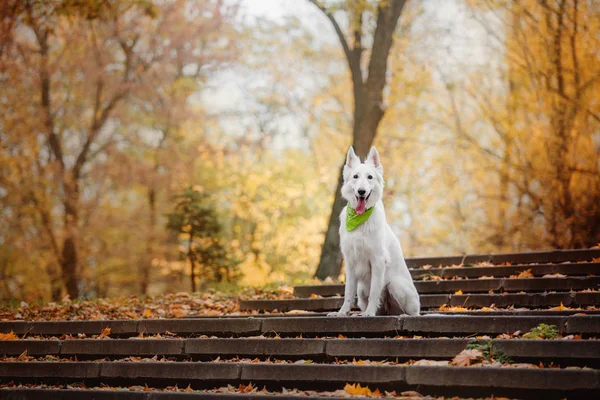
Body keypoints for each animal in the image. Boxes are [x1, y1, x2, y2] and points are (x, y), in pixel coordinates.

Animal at [326, 145, 420, 318]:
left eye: (370, 177)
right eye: (355, 176)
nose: (362, 191)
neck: (359, 219)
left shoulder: (377, 260)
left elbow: (375, 291)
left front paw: (369, 313)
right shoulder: (350, 262)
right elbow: (348, 292)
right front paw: (342, 312)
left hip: (395, 285)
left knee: (413, 312)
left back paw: (402, 315)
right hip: (361, 289)